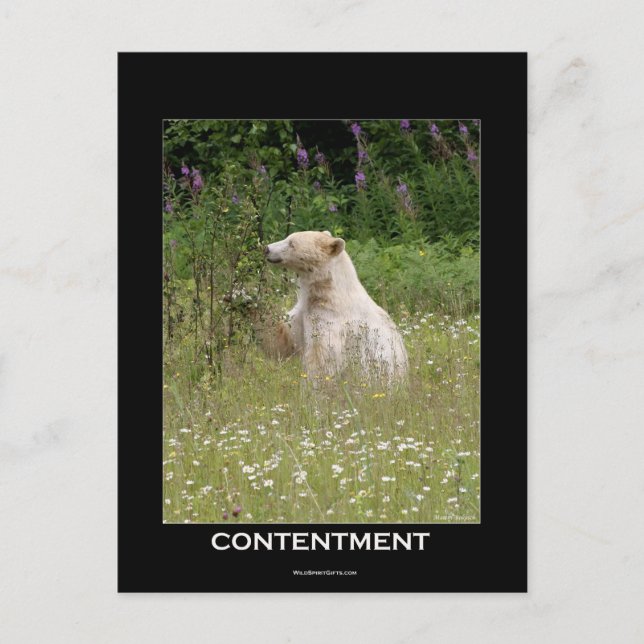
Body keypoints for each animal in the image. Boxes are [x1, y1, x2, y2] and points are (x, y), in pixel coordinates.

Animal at [264, 230, 408, 381]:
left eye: (291, 243)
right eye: (287, 237)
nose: (266, 249)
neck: (329, 292)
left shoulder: (330, 318)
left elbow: (323, 355)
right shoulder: (303, 311)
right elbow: (283, 339)